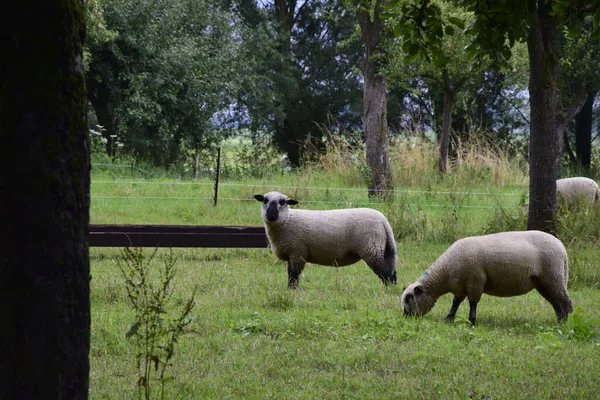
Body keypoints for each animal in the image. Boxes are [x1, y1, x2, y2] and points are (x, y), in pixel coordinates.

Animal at [254, 191, 398, 288]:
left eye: (283, 202)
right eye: (265, 200)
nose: (271, 214)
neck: (288, 220)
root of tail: (383, 220)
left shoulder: (298, 252)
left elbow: (294, 275)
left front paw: (292, 291)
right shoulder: (291, 254)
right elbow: (290, 274)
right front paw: (289, 290)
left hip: (371, 248)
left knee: (384, 272)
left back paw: (387, 290)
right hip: (383, 248)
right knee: (391, 271)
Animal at [400, 231, 576, 324]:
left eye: (409, 299)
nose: (405, 317)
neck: (445, 272)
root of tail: (562, 247)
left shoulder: (475, 281)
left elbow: (472, 302)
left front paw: (472, 321)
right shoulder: (460, 286)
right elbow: (456, 302)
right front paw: (449, 318)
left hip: (554, 276)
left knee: (565, 301)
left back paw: (568, 323)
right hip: (543, 282)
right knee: (555, 301)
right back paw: (560, 321)